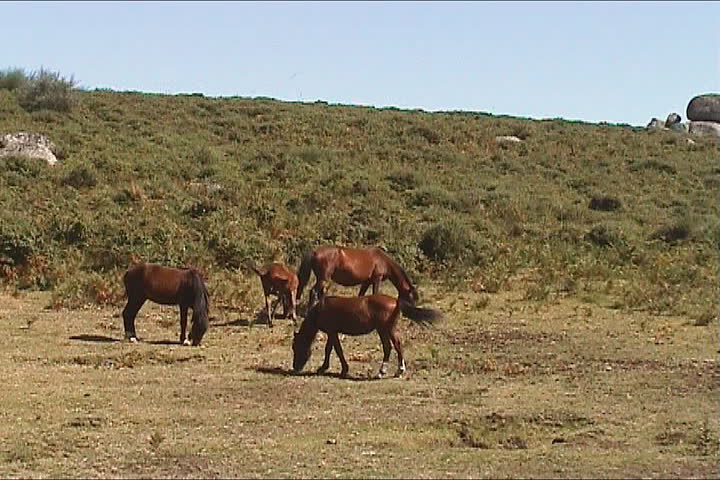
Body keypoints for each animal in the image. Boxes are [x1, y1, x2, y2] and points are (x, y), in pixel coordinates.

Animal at [292, 293, 443, 378]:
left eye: (295, 347)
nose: (295, 367)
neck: (320, 309)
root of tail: (396, 301)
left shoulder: (332, 332)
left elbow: (335, 350)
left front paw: (340, 369)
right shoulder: (332, 332)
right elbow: (331, 349)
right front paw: (325, 367)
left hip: (385, 329)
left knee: (392, 347)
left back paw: (390, 371)